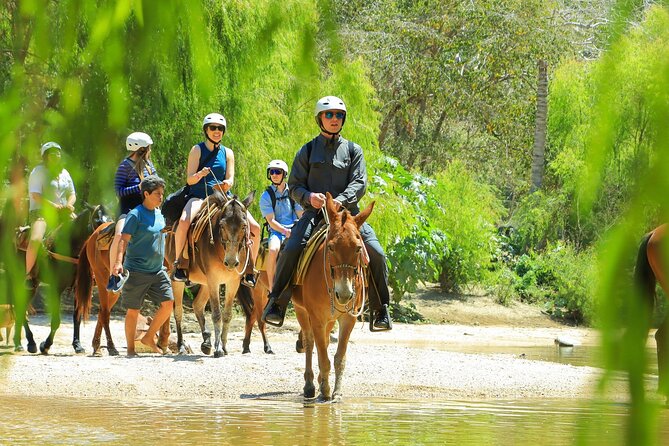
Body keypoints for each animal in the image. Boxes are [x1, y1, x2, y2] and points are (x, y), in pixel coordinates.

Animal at [167, 190, 256, 358]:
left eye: (244, 226)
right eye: (221, 225)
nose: (231, 262)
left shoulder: (232, 282)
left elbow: (227, 315)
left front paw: (224, 346)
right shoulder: (214, 280)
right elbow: (216, 314)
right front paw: (218, 348)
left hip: (205, 283)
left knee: (197, 305)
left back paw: (206, 341)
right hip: (177, 279)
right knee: (178, 311)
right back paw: (181, 345)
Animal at [292, 193, 376, 400]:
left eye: (358, 248)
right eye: (330, 247)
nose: (344, 294)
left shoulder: (348, 318)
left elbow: (339, 358)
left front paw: (336, 391)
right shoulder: (316, 318)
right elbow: (323, 357)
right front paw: (325, 391)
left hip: (330, 319)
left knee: (323, 341)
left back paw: (321, 380)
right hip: (301, 311)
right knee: (309, 342)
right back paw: (310, 384)